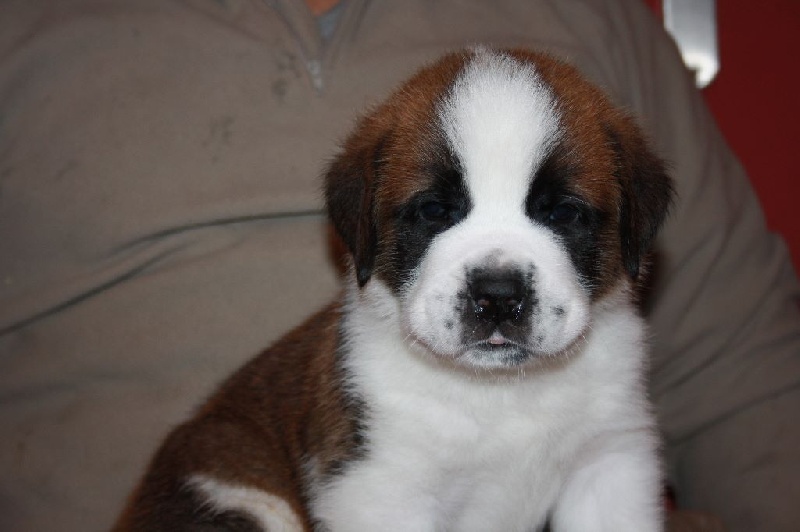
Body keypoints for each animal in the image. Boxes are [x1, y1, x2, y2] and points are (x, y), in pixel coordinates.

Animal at [114, 47, 676, 528]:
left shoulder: (610, 465)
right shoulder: (380, 488)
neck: (500, 392)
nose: (497, 296)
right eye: (433, 211)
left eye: (562, 213)